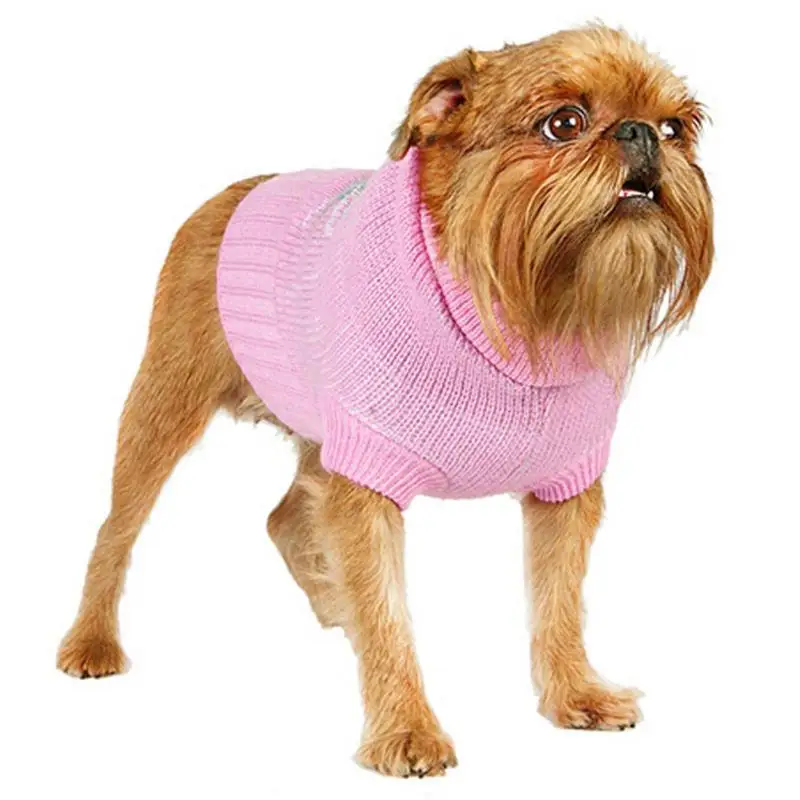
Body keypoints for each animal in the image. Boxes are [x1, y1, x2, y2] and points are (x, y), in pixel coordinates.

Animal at [57, 25, 713, 778]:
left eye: (677, 128)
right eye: (564, 124)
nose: (642, 134)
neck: (518, 316)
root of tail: (232, 195)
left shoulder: (564, 488)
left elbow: (558, 600)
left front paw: (575, 693)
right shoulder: (367, 473)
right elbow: (388, 610)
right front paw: (407, 729)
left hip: (318, 438)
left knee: (285, 518)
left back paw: (331, 603)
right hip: (165, 401)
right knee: (116, 528)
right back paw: (91, 642)